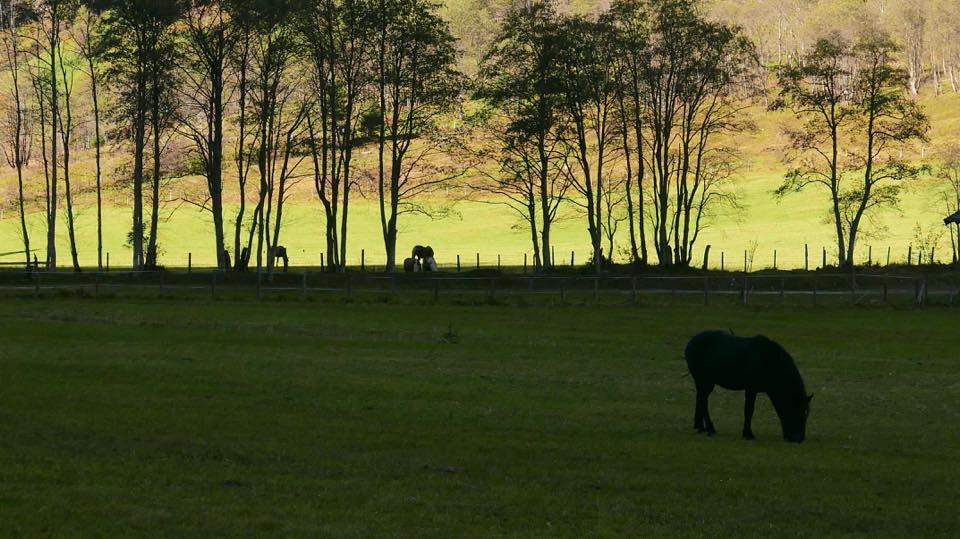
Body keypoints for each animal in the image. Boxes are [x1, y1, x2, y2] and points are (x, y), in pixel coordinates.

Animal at [684, 330, 812, 443]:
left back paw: (700, 427)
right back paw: (710, 429)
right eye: (796, 410)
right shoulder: (751, 389)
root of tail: (690, 343)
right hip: (705, 380)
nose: (798, 439)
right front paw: (748, 434)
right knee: (703, 401)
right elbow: (749, 410)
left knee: (700, 399)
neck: (770, 362)